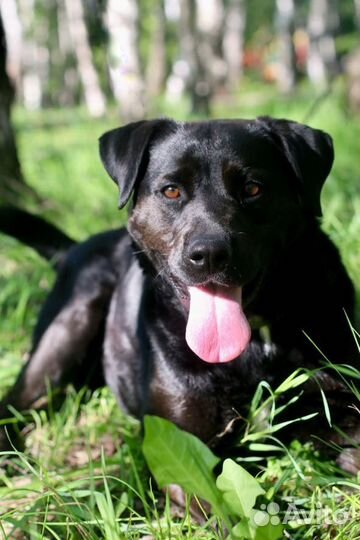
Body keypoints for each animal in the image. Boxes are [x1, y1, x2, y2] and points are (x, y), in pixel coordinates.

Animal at [0, 120, 358, 466]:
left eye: (253, 188)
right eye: (171, 191)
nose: (209, 253)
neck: (255, 347)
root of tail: (73, 249)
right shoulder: (182, 441)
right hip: (70, 325)